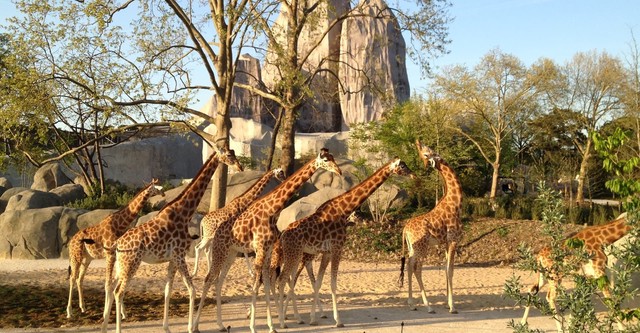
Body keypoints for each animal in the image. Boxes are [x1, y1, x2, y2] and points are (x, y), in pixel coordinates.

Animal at [65, 178, 164, 318]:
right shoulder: (110, 254)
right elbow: (108, 284)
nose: (163, 193)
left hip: (87, 258)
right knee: (73, 278)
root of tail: (71, 241)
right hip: (76, 256)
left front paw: (123, 313)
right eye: (156, 187)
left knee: (80, 279)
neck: (119, 225)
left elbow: (115, 282)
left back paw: (83, 307)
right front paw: (106, 313)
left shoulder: (118, 254)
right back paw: (69, 312)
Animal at [100, 148, 242, 332]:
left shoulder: (172, 259)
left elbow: (168, 291)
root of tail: (117, 244)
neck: (184, 213)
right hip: (131, 263)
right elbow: (192, 290)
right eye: (229, 155)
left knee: (111, 287)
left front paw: (166, 327)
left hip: (121, 264)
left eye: (234, 152)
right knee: (119, 292)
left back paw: (104, 327)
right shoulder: (179, 256)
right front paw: (191, 327)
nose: (240, 166)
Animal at [192, 147, 342, 332]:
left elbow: (267, 283)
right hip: (219, 248)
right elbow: (257, 284)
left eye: (333, 157)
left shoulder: (268, 250)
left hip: (231, 253)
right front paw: (254, 326)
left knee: (219, 281)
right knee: (208, 277)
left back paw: (220, 324)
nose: (339, 171)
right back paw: (194, 326)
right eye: (326, 160)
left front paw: (272, 325)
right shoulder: (260, 248)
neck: (272, 210)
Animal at [276, 157, 416, 328]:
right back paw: (281, 321)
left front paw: (313, 318)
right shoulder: (338, 249)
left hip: (296, 255)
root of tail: (283, 234)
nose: (413, 174)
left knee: (288, 280)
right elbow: (333, 284)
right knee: (282, 280)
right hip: (294, 254)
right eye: (402, 166)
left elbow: (319, 283)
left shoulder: (327, 252)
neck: (344, 211)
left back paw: (289, 317)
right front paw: (338, 321)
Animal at [398, 139, 462, 312]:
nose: (420, 142)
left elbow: (449, 270)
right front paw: (452, 306)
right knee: (416, 267)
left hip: (413, 247)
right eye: (425, 153)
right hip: (422, 247)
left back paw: (412, 304)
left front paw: (447, 303)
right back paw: (427, 305)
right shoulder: (453, 240)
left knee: (409, 265)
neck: (456, 203)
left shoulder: (446, 243)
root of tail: (405, 229)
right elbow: (449, 270)